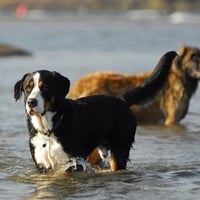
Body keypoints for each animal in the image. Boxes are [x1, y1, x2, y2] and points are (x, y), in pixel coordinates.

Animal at [14, 51, 177, 172]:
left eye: (45, 87)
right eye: (27, 88)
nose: (31, 102)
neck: (49, 130)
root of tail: (121, 100)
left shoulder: (74, 162)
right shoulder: (42, 166)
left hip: (119, 150)